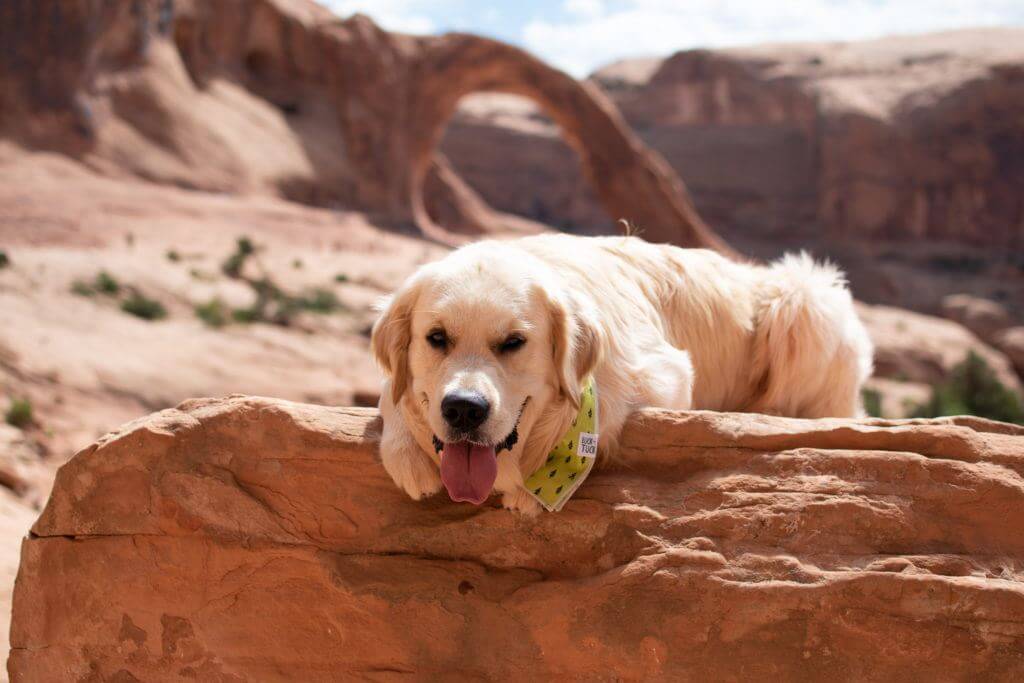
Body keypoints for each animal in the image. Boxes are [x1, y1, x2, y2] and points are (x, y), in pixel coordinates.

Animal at [374, 233, 872, 511]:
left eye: (514, 342)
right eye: (437, 337)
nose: (463, 410)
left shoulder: (667, 375)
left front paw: (529, 491)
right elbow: (390, 393)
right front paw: (406, 453)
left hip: (805, 300)